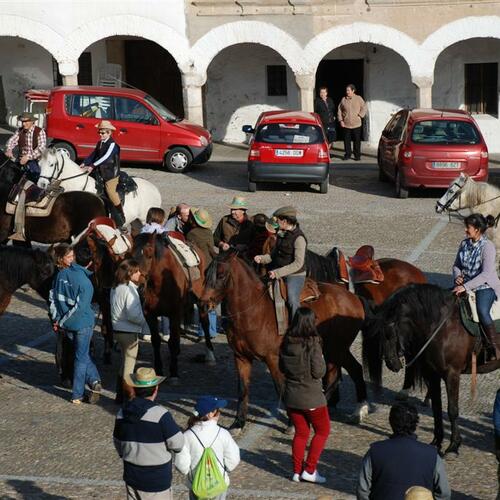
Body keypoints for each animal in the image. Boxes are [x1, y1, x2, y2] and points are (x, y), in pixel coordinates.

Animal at [131, 232, 215, 380]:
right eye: (130, 254)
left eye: (149, 254)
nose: (136, 281)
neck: (159, 283)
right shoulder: (149, 315)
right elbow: (156, 341)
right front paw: (159, 370)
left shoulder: (174, 314)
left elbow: (173, 341)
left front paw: (174, 372)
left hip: (201, 301)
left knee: (205, 322)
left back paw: (209, 355)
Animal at [200, 250, 368, 430]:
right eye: (205, 272)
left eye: (221, 275)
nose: (203, 305)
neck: (253, 311)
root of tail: (353, 298)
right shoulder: (241, 357)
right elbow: (243, 389)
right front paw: (238, 422)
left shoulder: (273, 359)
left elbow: (281, 388)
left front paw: (292, 423)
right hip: (332, 349)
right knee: (335, 373)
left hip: (337, 348)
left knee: (353, 370)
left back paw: (358, 411)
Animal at [364, 284, 500, 456]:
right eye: (378, 335)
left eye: (390, 333)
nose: (391, 364)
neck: (442, 326)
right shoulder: (433, 374)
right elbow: (437, 408)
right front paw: (437, 442)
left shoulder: (452, 374)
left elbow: (452, 410)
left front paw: (453, 445)